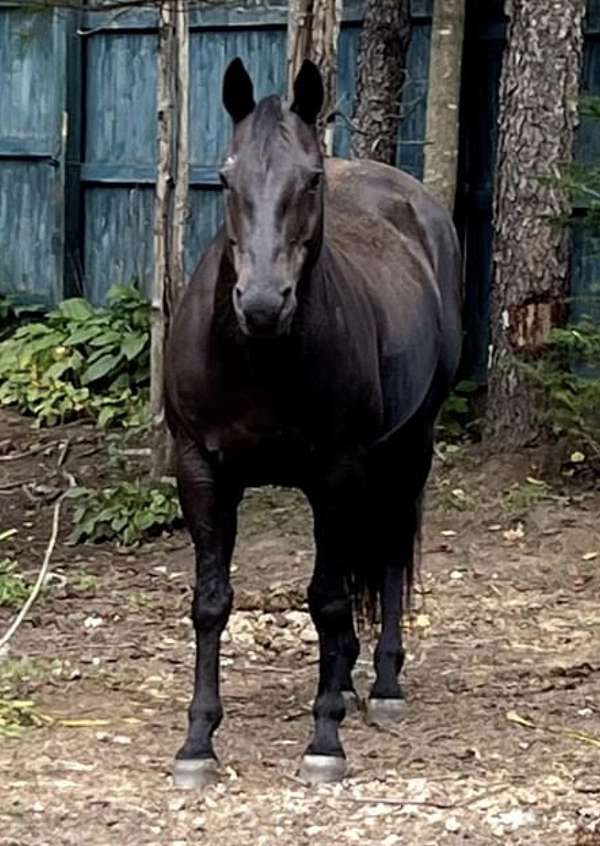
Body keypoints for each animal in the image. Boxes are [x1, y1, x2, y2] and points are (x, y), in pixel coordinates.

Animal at [166, 58, 462, 788]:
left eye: (311, 179)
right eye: (226, 177)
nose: (263, 304)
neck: (256, 360)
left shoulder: (339, 469)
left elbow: (327, 598)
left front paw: (324, 739)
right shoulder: (201, 470)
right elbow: (211, 602)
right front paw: (197, 744)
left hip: (409, 449)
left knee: (388, 559)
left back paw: (382, 685)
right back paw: (349, 680)